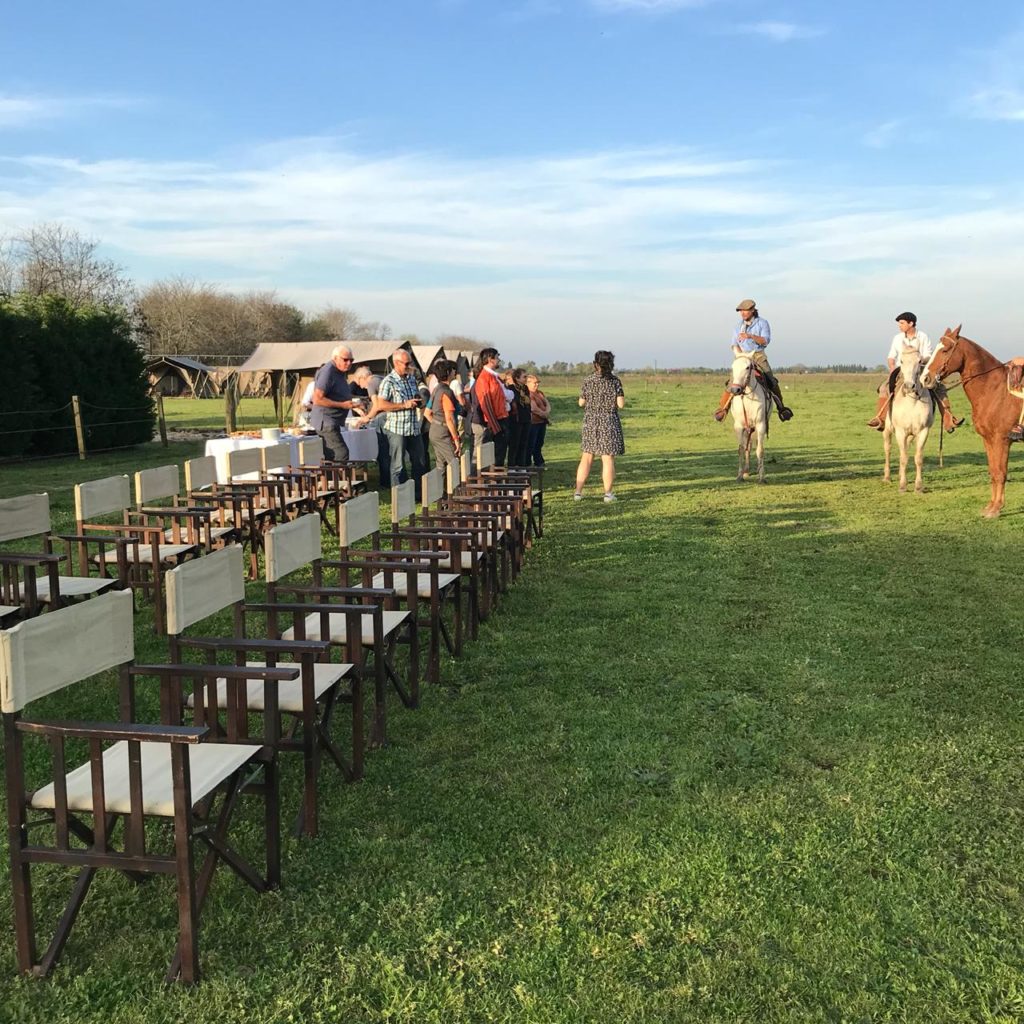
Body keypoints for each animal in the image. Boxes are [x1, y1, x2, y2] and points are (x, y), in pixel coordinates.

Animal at [729, 352, 770, 483]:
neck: (748, 399)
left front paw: (762, 477)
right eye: (733, 367)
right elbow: (741, 449)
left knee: (755, 444)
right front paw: (739, 475)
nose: (736, 389)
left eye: (747, 367)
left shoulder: (761, 424)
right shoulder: (739, 426)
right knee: (748, 446)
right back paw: (746, 471)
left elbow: (760, 450)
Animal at [880, 342, 937, 493]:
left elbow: (918, 458)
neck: (912, 401)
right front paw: (902, 486)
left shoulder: (923, 431)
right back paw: (887, 477)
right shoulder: (900, 432)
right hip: (887, 430)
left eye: (919, 361)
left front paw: (918, 486)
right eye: (901, 361)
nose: (910, 386)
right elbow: (903, 458)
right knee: (888, 449)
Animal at [921, 327, 1015, 516]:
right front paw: (991, 506)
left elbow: (1001, 472)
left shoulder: (1002, 440)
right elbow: (993, 471)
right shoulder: (988, 440)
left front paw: (996, 509)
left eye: (945, 350)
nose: (925, 378)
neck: (994, 391)